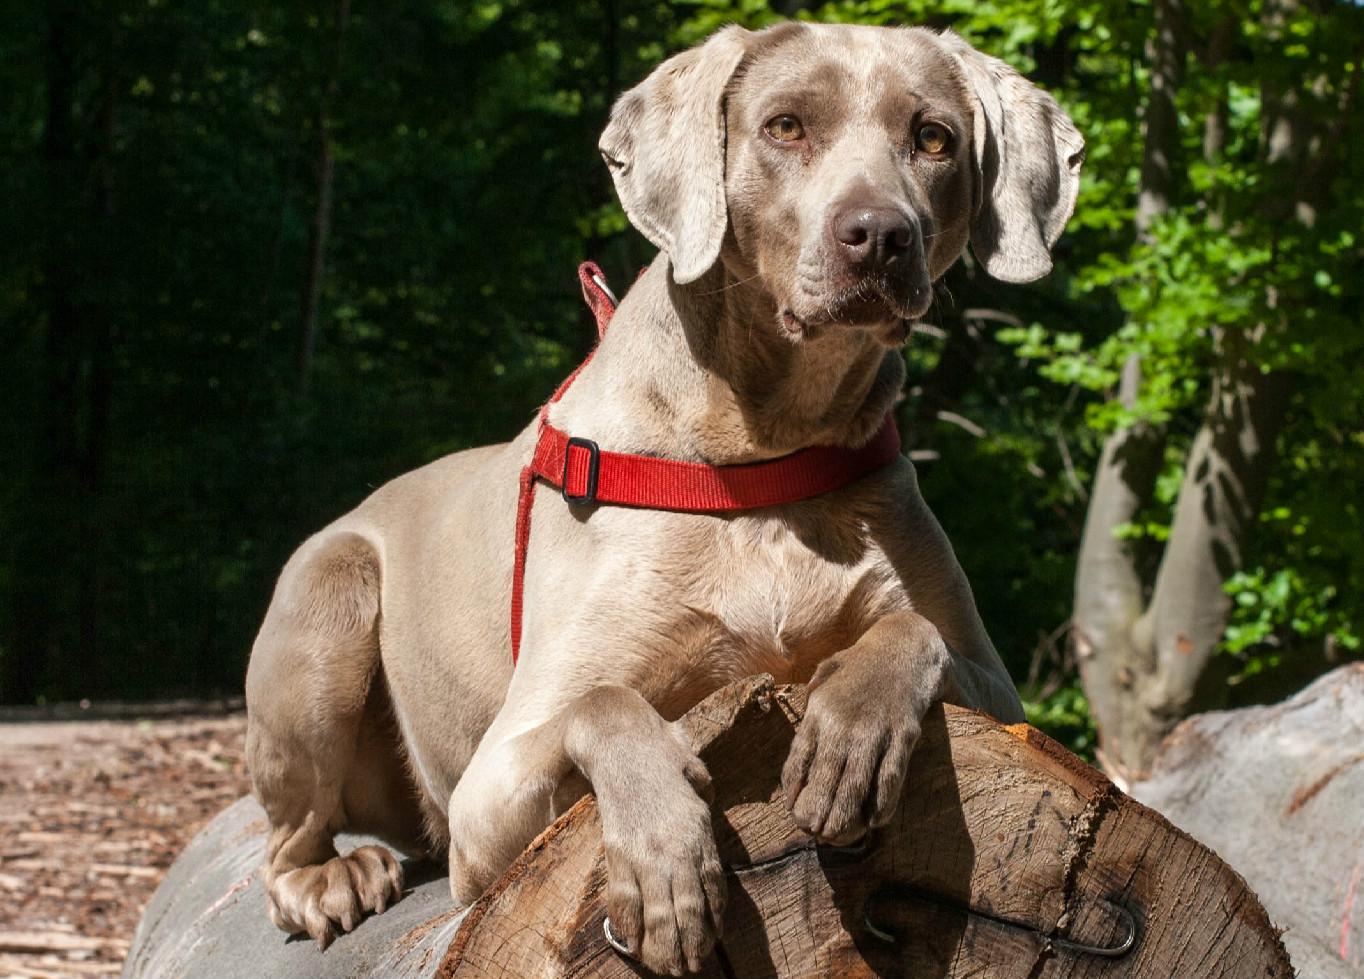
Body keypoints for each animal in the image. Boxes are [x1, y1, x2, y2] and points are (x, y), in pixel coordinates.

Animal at [242, 19, 1074, 976]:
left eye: (933, 137)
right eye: (785, 127)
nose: (879, 234)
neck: (766, 451)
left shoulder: (1001, 699)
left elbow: (913, 629)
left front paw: (848, 735)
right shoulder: (493, 788)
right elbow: (602, 702)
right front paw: (666, 863)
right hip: (326, 605)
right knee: (287, 841)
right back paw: (334, 878)